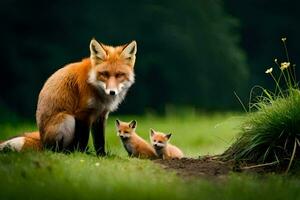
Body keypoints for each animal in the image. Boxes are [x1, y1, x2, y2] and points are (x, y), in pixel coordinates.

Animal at [0, 39, 137, 155]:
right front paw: (81, 154)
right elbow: (83, 138)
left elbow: (100, 140)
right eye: (105, 74)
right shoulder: (82, 113)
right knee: (55, 150)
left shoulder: (101, 114)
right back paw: (69, 152)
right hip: (67, 118)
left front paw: (101, 156)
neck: (94, 85)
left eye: (119, 75)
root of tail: (42, 140)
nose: (112, 92)